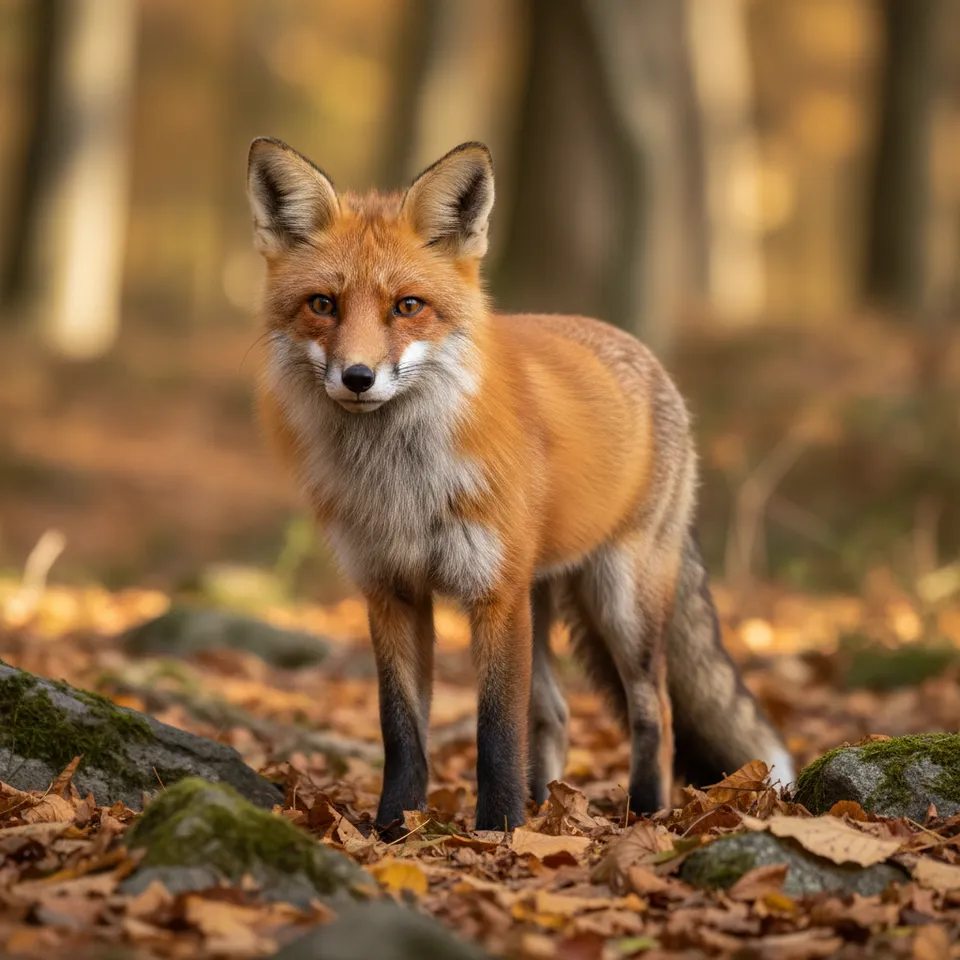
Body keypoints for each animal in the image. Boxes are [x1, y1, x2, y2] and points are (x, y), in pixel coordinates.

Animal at [246, 137, 795, 833]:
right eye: (323, 304)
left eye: (407, 306)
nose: (358, 377)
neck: (402, 484)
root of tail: (640, 351)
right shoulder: (391, 590)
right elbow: (402, 730)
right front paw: (394, 828)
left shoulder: (494, 593)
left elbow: (495, 732)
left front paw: (499, 829)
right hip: (542, 599)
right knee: (555, 714)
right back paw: (546, 807)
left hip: (619, 601)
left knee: (657, 713)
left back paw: (644, 812)